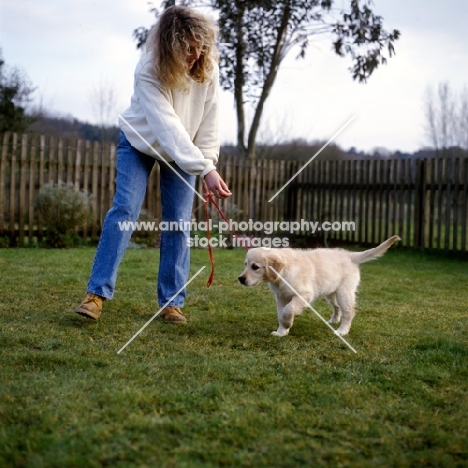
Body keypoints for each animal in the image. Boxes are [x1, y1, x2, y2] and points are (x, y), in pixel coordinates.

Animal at [239, 236, 400, 338]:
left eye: (255, 267)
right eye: (245, 264)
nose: (241, 279)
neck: (282, 273)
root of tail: (350, 255)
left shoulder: (304, 294)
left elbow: (288, 310)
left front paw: (288, 323)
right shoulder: (281, 297)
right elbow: (281, 313)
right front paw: (281, 332)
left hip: (344, 292)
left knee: (349, 312)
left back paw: (342, 331)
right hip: (330, 293)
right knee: (337, 307)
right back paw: (334, 321)